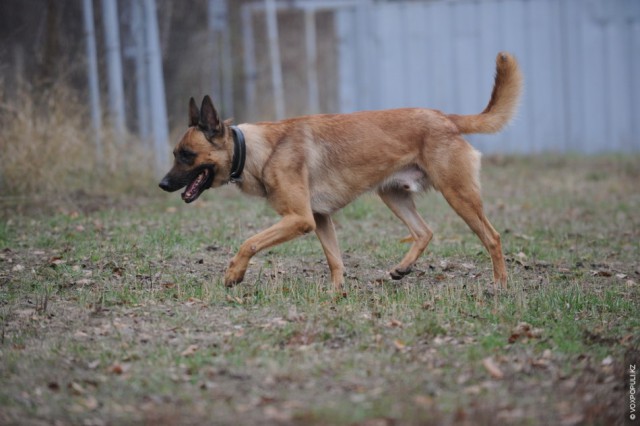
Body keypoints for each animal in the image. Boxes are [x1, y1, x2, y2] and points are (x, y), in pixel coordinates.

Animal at [159, 51, 520, 292]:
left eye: (187, 156)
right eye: (175, 154)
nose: (162, 184)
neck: (256, 149)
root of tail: (445, 117)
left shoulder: (300, 219)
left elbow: (249, 242)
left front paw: (234, 273)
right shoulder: (319, 219)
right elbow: (334, 258)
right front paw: (336, 292)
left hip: (458, 195)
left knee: (492, 237)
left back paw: (501, 285)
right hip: (393, 195)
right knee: (424, 232)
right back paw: (402, 269)